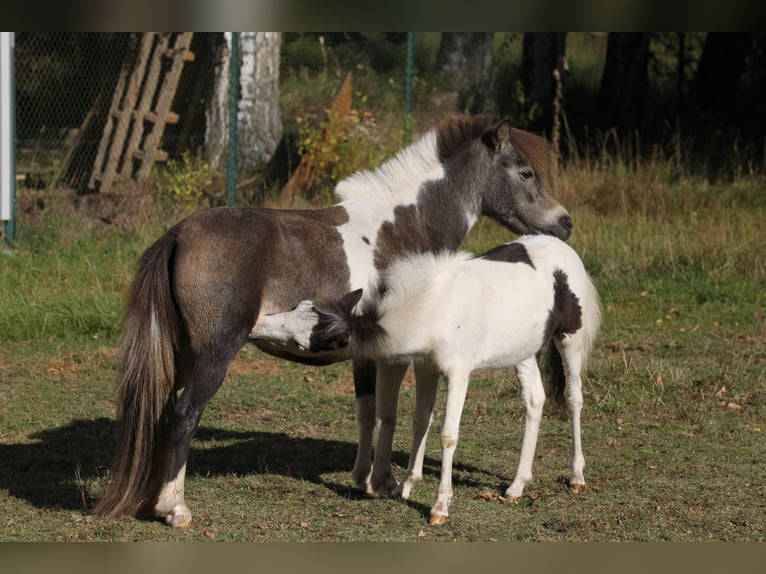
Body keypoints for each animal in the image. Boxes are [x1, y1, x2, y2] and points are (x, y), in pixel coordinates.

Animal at [93, 115, 572, 528]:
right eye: (525, 173)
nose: (564, 222)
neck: (401, 229)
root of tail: (178, 234)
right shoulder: (395, 354)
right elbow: (389, 414)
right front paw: (385, 482)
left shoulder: (366, 355)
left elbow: (366, 411)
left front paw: (365, 479)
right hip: (213, 357)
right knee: (184, 414)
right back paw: (175, 508)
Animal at [308, 235, 604, 528]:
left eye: (333, 338)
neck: (434, 309)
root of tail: (563, 248)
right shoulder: (426, 367)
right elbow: (421, 422)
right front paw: (406, 486)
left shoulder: (458, 374)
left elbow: (448, 435)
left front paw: (439, 507)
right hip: (524, 352)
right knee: (534, 400)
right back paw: (517, 486)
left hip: (570, 341)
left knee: (573, 398)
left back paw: (576, 476)